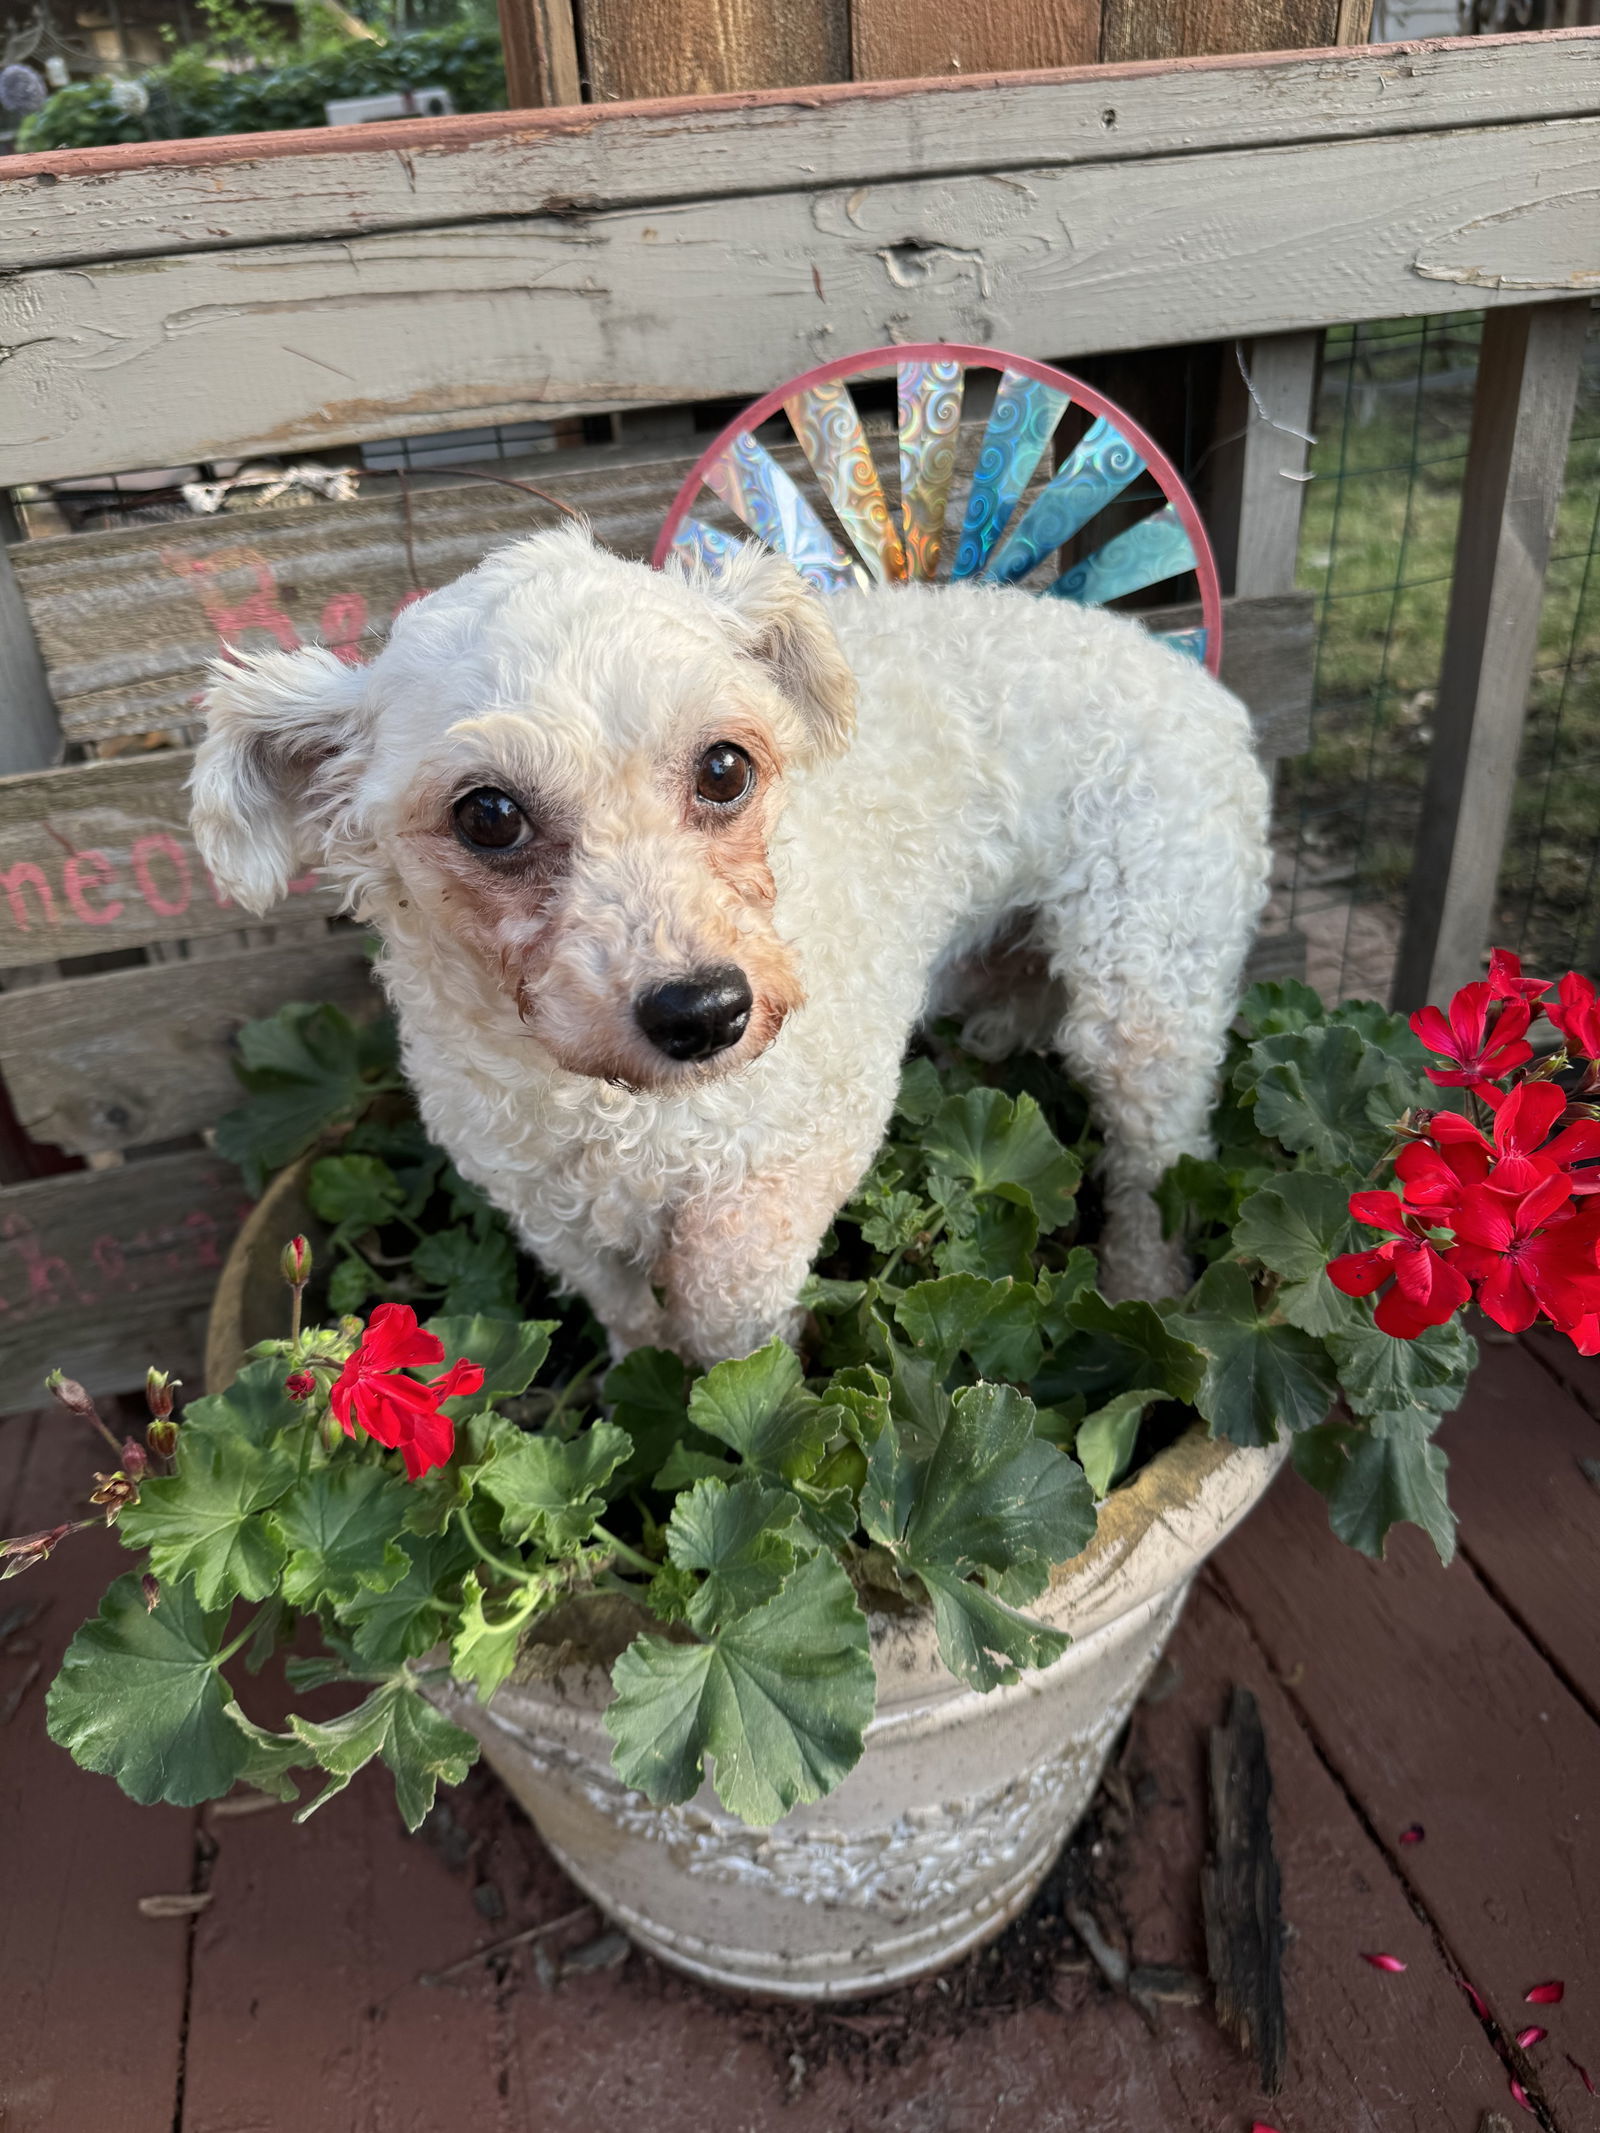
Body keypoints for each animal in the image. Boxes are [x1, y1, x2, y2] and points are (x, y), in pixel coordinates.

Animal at [190, 533, 1262, 1365]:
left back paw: (1146, 1300)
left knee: (1157, 1158)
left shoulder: (809, 1137)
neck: (628, 1112)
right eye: (487, 814)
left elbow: (724, 1304)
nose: (704, 1011)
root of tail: (1200, 679)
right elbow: (626, 1310)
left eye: (724, 766)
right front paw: (644, 1376)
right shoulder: (546, 1199)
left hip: (1147, 980)